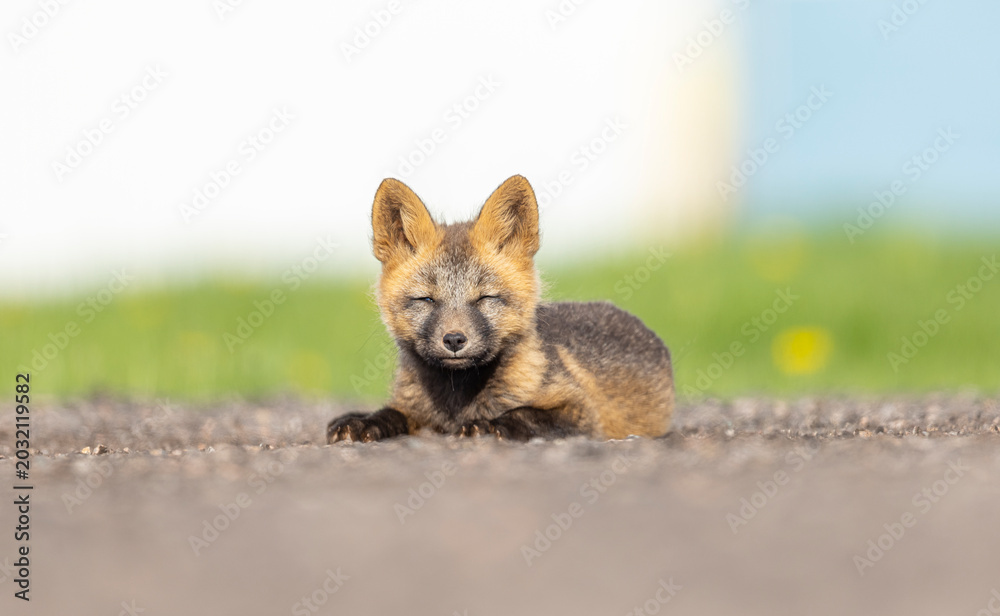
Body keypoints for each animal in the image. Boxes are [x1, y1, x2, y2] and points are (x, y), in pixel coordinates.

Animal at [327, 175, 673, 442]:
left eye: (485, 298)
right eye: (426, 300)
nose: (454, 340)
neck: (457, 400)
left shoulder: (584, 413)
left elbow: (524, 413)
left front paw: (489, 425)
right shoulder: (413, 409)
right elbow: (391, 412)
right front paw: (364, 421)